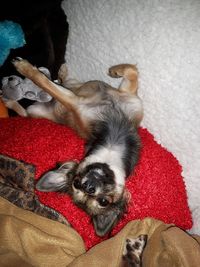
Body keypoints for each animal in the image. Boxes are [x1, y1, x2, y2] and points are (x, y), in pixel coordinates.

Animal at [11, 57, 143, 238]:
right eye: (77, 183)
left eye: (103, 201)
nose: (89, 186)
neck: (112, 143)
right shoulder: (123, 97)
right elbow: (132, 71)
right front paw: (115, 70)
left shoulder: (122, 97)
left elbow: (45, 83)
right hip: (39, 108)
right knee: (52, 89)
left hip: (36, 110)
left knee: (30, 107)